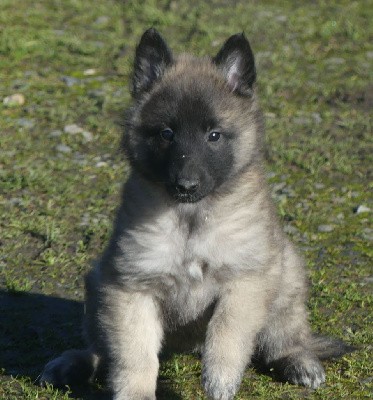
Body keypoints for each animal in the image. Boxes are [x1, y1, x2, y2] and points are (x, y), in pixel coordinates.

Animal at [41, 28, 352, 400]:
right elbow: (135, 354)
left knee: (284, 336)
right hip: (98, 282)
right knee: (101, 350)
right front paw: (136, 392)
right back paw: (74, 364)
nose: (186, 185)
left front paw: (220, 379)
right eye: (166, 133)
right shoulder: (130, 288)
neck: (191, 218)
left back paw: (299, 361)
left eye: (213, 135)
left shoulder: (244, 281)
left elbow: (227, 330)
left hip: (285, 272)